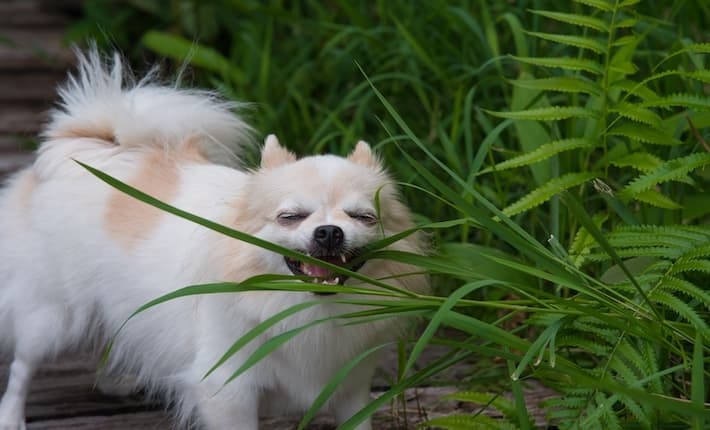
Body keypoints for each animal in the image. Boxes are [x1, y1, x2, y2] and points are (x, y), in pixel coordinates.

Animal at [0, 48, 426, 428]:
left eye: (362, 217)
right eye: (290, 217)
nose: (329, 232)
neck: (304, 307)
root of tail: (92, 144)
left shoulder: (350, 386)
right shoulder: (227, 389)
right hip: (52, 314)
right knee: (24, 365)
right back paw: (12, 416)